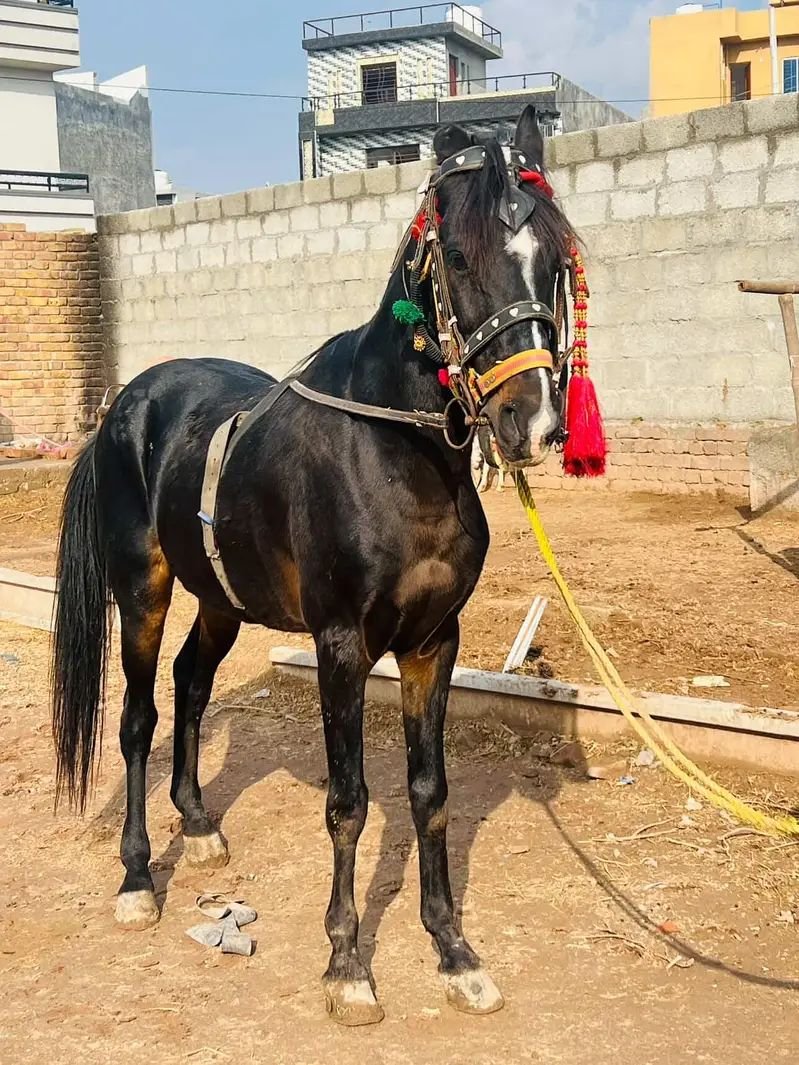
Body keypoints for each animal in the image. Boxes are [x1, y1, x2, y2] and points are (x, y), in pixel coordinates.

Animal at [51, 106, 574, 1026]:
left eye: (550, 261)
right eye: (458, 256)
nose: (533, 422)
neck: (391, 450)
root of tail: (128, 404)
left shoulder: (433, 643)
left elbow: (429, 794)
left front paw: (453, 951)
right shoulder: (340, 646)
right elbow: (348, 802)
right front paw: (345, 964)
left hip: (221, 600)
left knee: (190, 683)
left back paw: (200, 825)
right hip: (142, 590)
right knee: (140, 718)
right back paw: (139, 877)